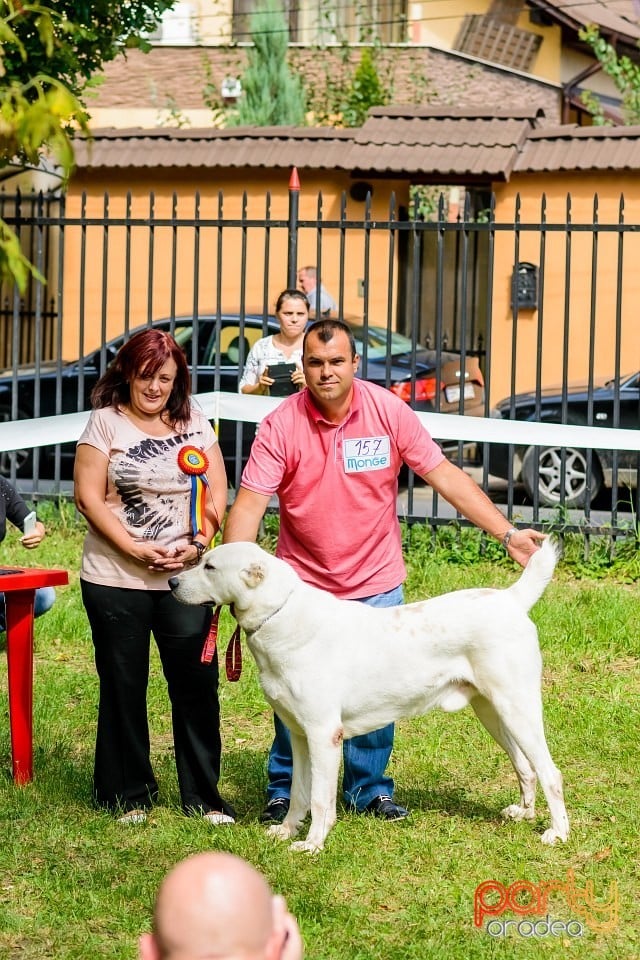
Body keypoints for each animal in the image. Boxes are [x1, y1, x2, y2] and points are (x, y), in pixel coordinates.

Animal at [168, 540, 568, 856]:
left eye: (209, 567)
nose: (171, 581)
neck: (279, 615)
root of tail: (510, 600)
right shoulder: (298, 735)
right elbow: (298, 792)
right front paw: (285, 831)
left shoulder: (323, 735)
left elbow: (320, 798)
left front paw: (312, 844)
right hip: (493, 712)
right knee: (525, 766)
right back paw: (524, 813)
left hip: (517, 708)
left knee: (550, 772)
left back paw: (558, 833)